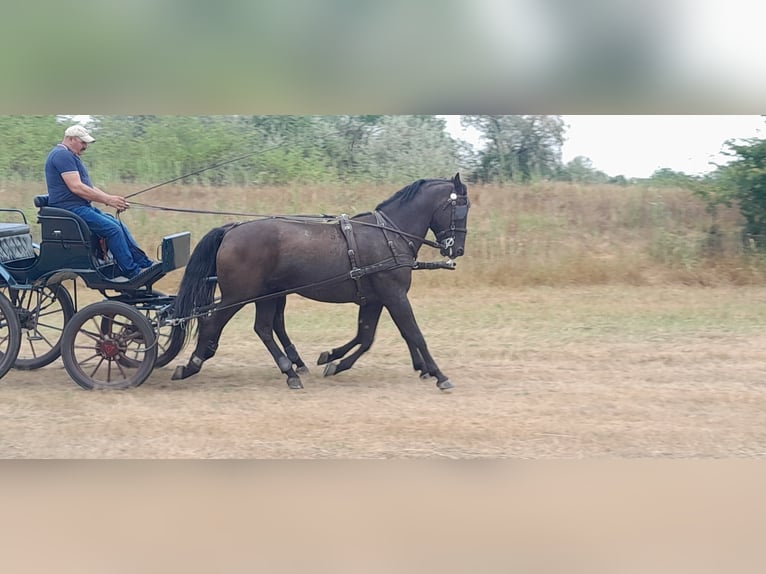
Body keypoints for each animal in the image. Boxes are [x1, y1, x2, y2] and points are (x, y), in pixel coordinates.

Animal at [172, 174, 472, 392]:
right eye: (461, 208)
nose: (456, 249)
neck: (389, 234)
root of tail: (232, 229)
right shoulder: (394, 294)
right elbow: (414, 333)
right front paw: (439, 374)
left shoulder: (375, 299)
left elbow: (366, 337)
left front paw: (333, 360)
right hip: (239, 295)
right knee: (214, 323)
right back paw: (193, 364)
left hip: (266, 295)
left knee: (264, 328)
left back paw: (290, 370)